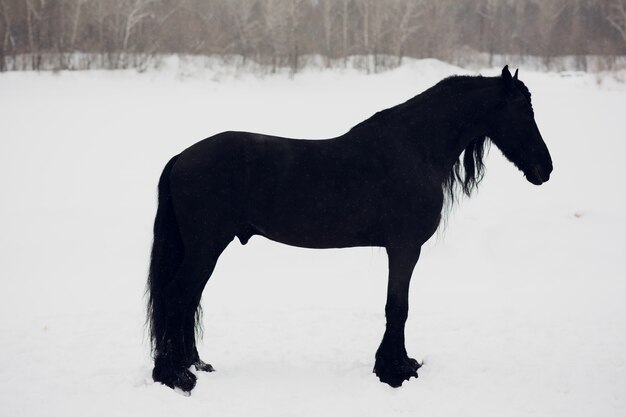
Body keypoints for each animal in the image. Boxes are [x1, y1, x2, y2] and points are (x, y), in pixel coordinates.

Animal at [146, 66, 552, 392]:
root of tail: (182, 157)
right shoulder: (405, 247)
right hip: (205, 247)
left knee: (187, 300)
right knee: (178, 296)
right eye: (523, 109)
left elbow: (397, 306)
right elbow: (398, 306)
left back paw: (194, 364)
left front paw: (399, 364)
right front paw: (394, 371)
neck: (415, 148)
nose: (545, 168)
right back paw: (175, 375)